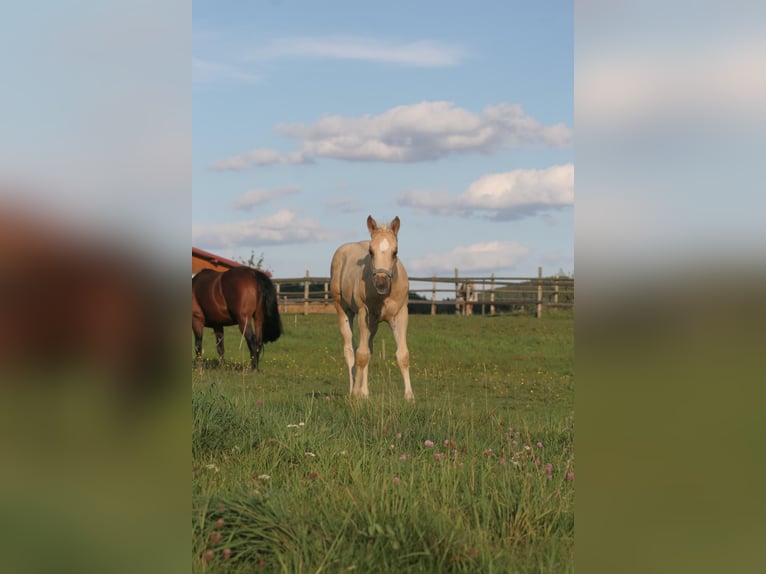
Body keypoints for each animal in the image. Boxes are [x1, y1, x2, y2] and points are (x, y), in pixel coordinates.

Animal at [330, 216, 414, 400]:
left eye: (395, 252)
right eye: (371, 251)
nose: (381, 284)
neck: (385, 296)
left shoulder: (401, 315)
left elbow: (403, 355)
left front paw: (409, 396)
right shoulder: (364, 314)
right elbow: (361, 355)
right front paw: (355, 393)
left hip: (374, 324)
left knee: (368, 349)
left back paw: (365, 392)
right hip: (343, 310)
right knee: (350, 349)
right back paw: (353, 389)